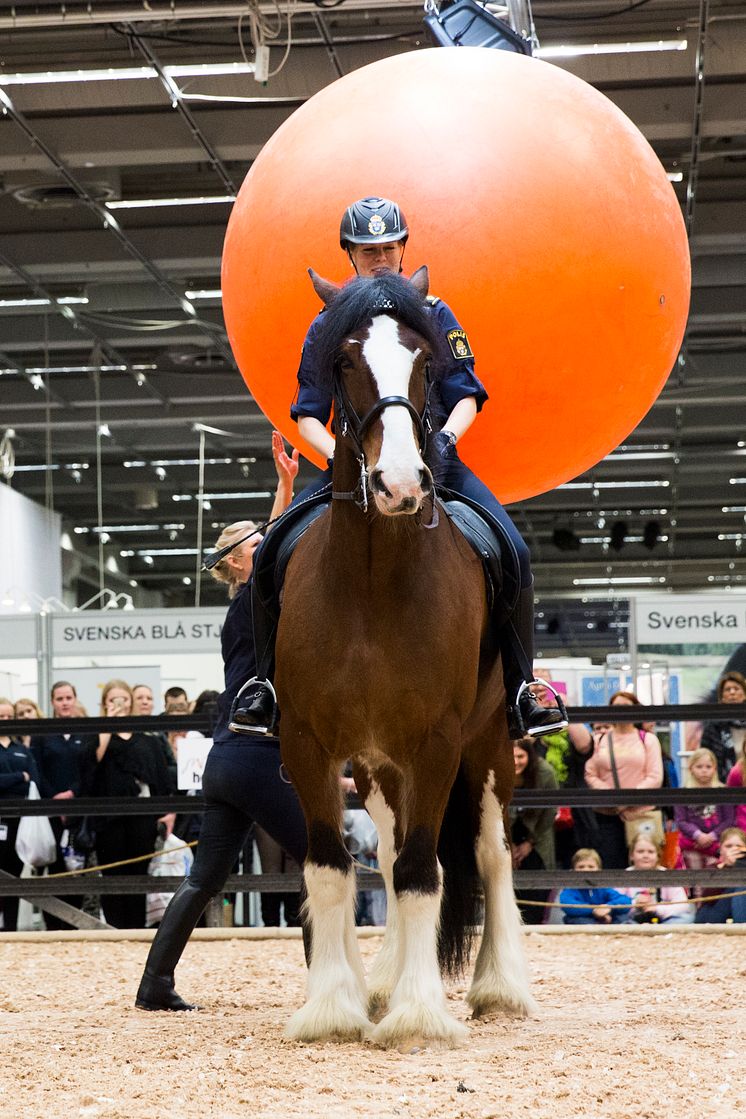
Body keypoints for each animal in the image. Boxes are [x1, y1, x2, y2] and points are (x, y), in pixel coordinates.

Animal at [277, 266, 534, 1042]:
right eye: (342, 361)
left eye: (425, 361)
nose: (400, 484)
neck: (371, 584)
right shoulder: (310, 743)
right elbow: (333, 869)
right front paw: (333, 1006)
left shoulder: (437, 741)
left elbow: (426, 872)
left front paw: (420, 1015)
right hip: (377, 766)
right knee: (388, 857)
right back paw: (385, 979)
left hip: (487, 748)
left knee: (488, 855)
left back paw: (498, 987)